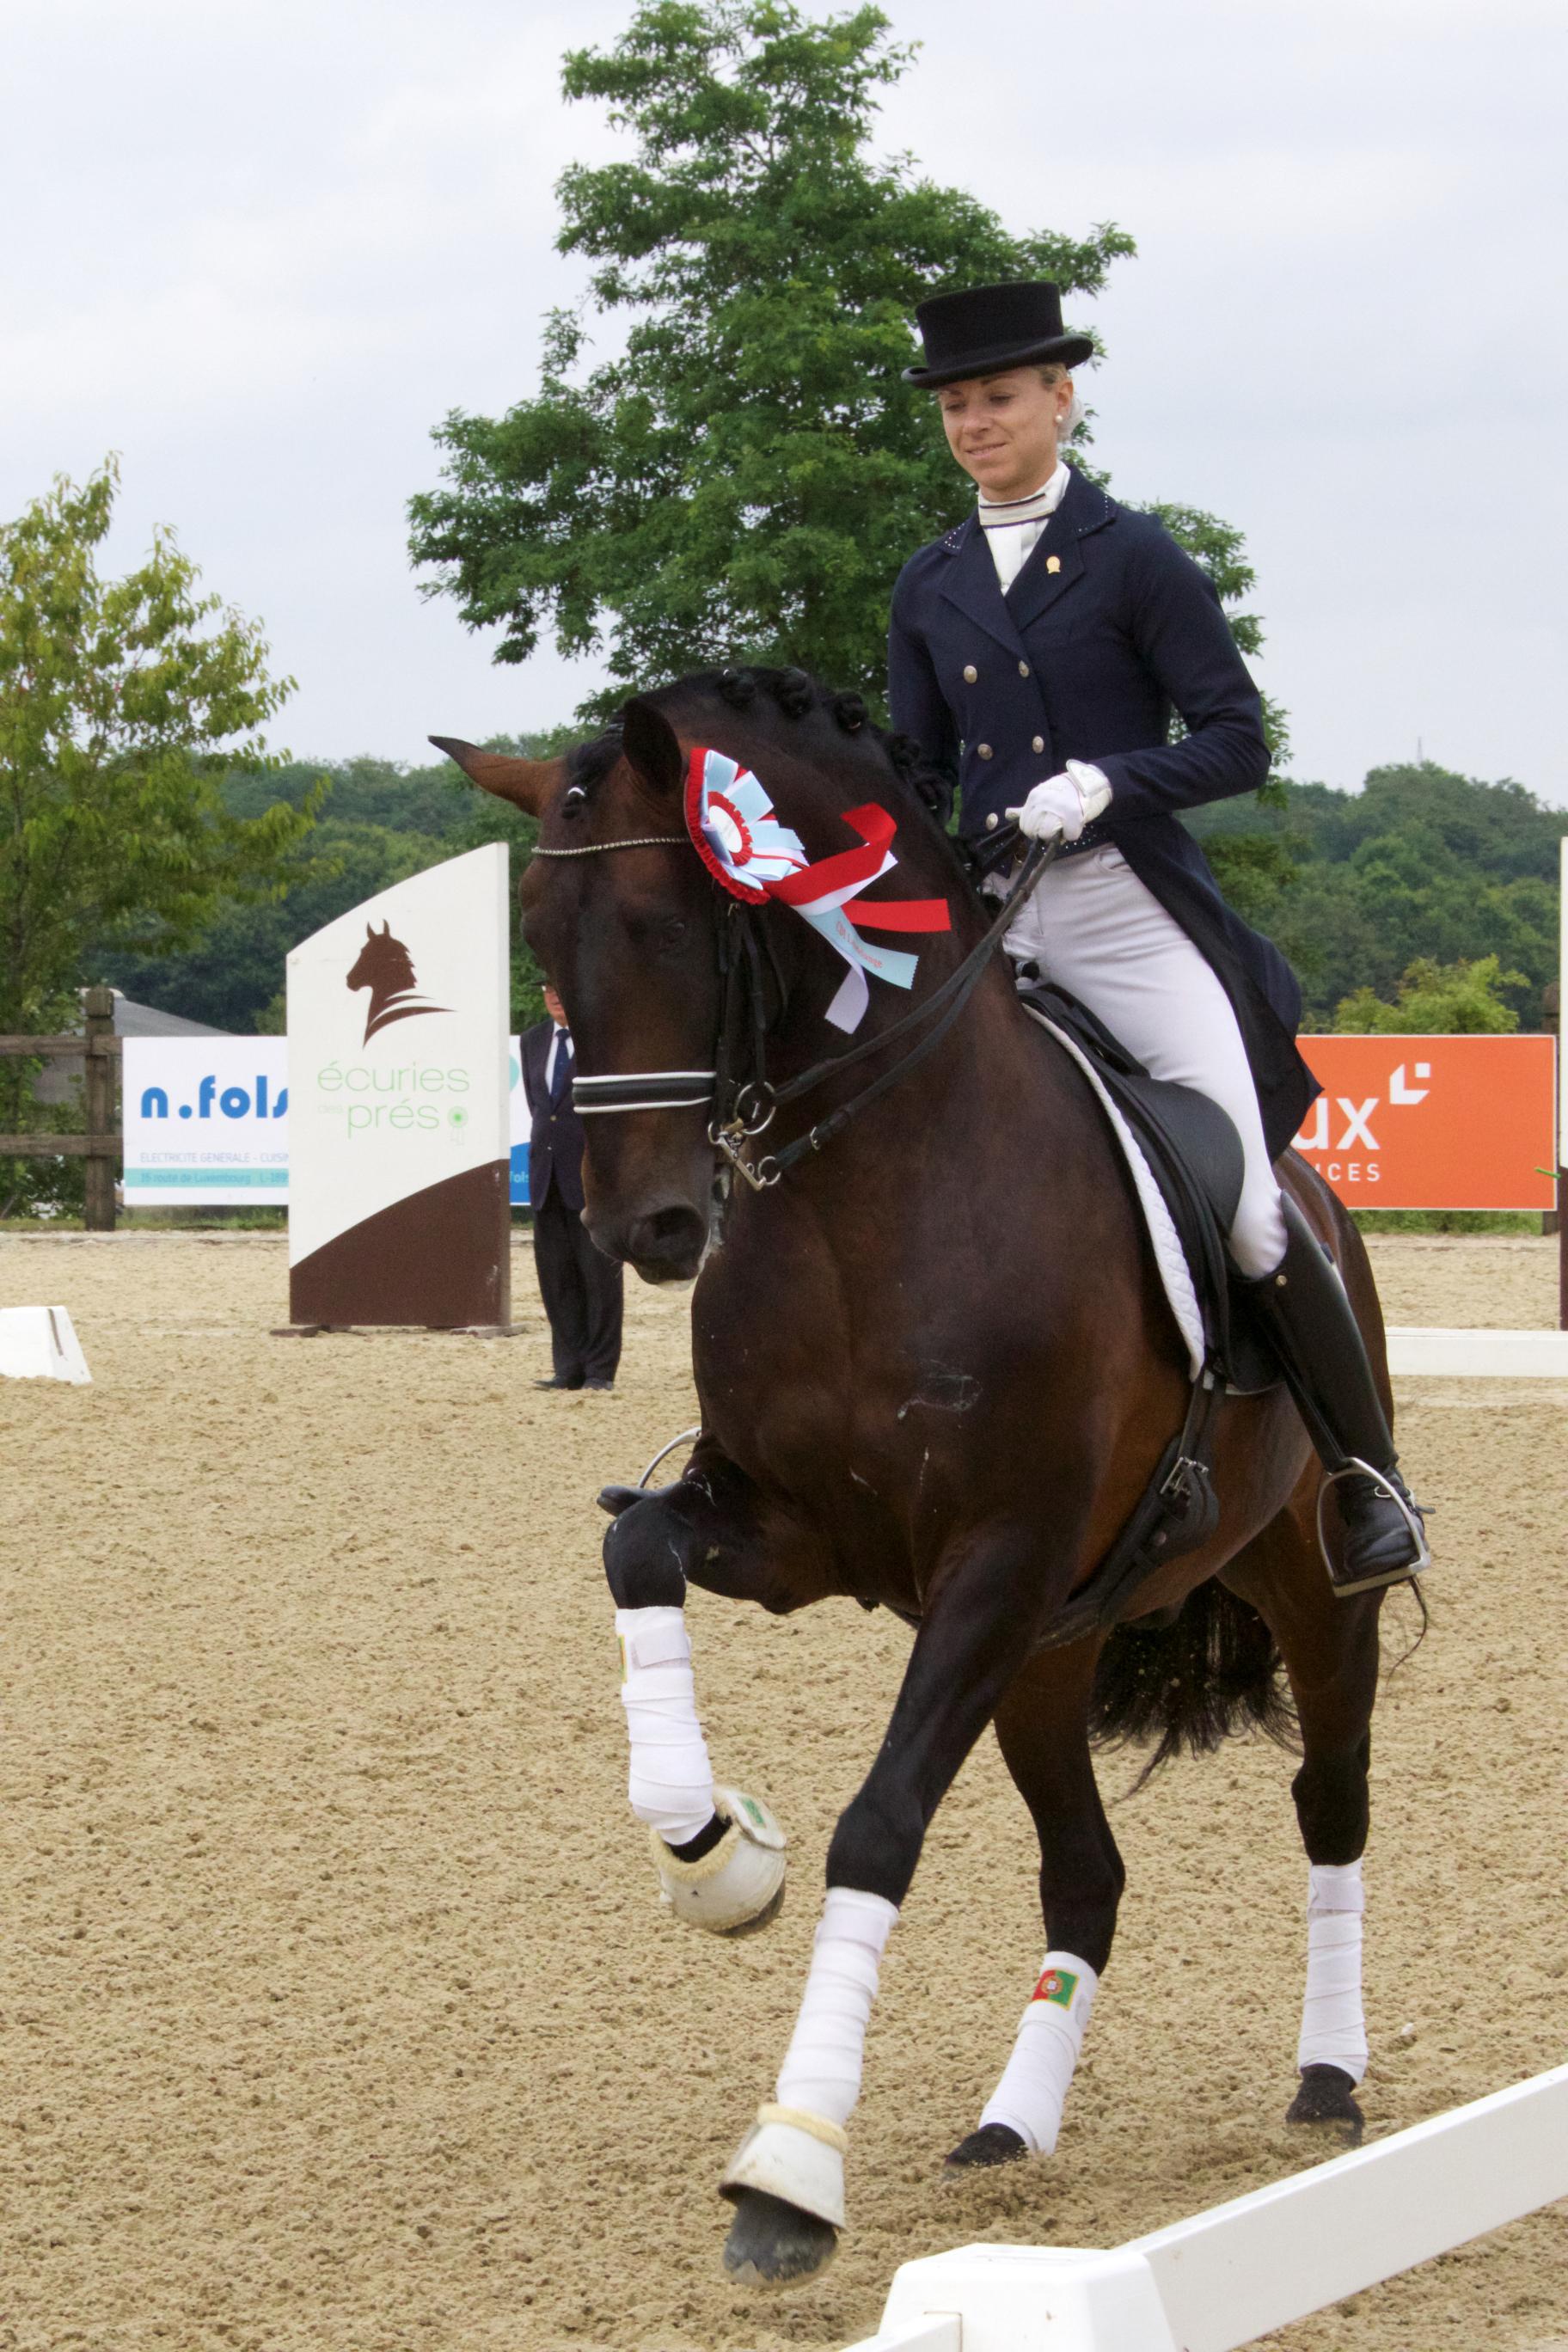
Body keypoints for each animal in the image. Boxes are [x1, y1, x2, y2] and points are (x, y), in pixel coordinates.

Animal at [434, 672, 1400, 2286]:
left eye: (665, 922)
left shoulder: (992, 1560)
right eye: (541, 944)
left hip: (1303, 1589)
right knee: (1086, 1874)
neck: (866, 1181)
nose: (645, 1227)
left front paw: (789, 2174)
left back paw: (1326, 2083)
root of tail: (1320, 1197)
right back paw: (1011, 2126)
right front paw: (711, 1852)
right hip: (1048, 1655)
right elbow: (635, 1554)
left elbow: (878, 1826)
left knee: (1329, 1803)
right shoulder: (793, 1532)